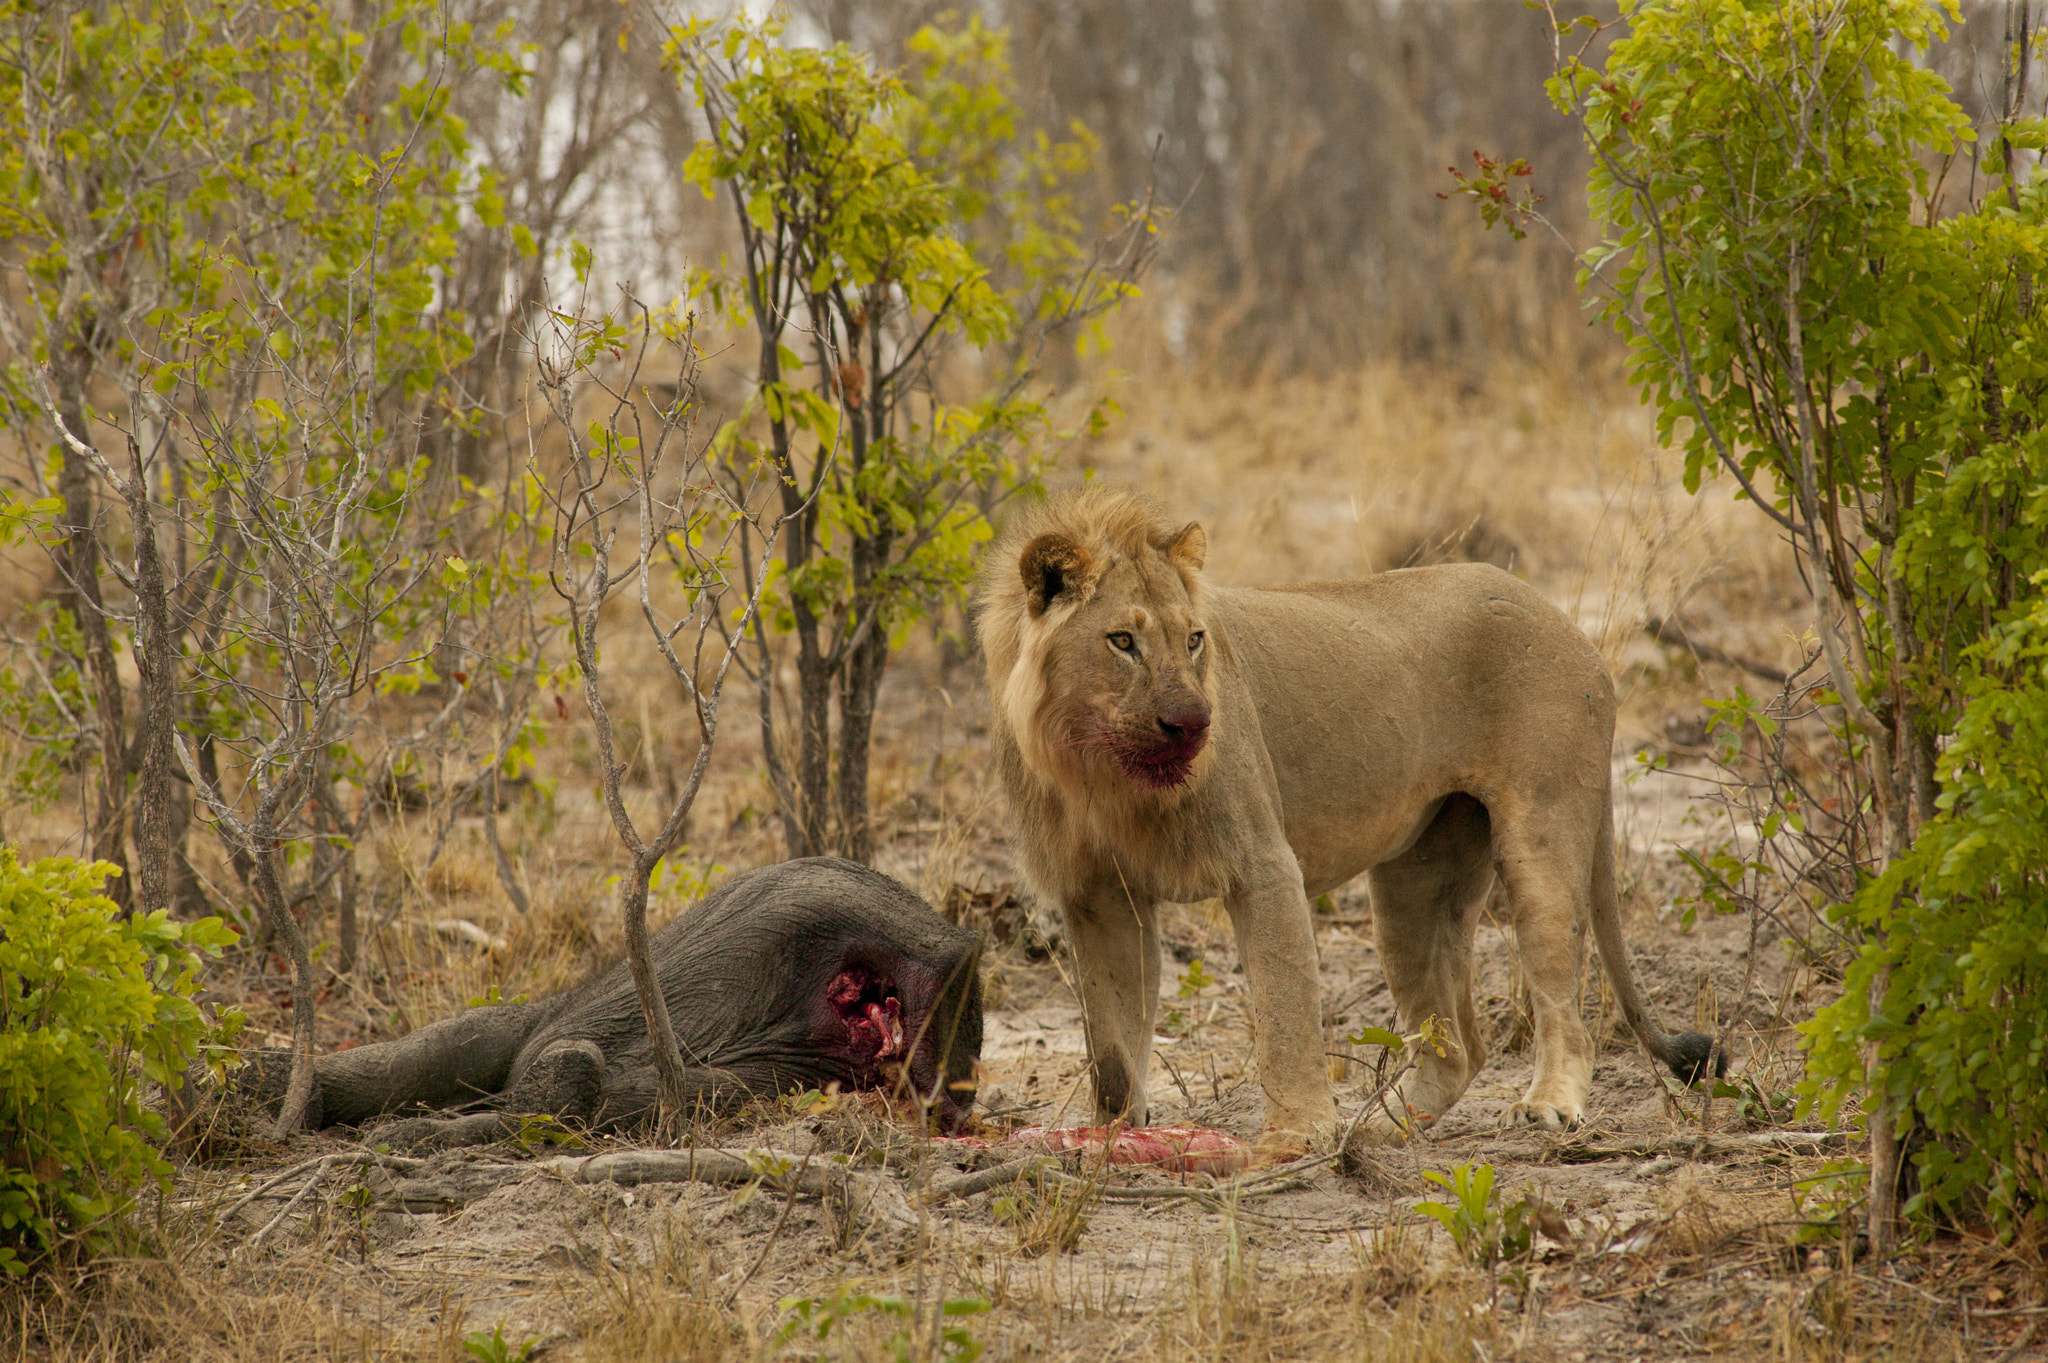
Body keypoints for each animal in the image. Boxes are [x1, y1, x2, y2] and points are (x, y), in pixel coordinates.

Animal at [974, 489, 1712, 1146]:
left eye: (1193, 640)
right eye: (1122, 640)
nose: (1193, 722)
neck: (1103, 775)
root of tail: (1570, 626)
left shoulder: (1262, 862)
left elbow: (1284, 1009)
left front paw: (1297, 1134)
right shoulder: (1097, 896)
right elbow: (1113, 1042)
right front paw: (1112, 1137)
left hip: (1543, 832)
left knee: (1564, 999)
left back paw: (1546, 1105)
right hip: (1417, 883)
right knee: (1457, 1046)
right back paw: (1381, 1129)